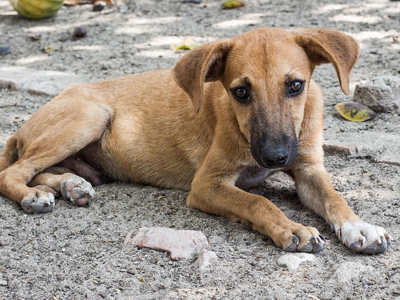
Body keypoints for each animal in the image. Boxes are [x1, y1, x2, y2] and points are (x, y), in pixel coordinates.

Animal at [0, 28, 390, 254]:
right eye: (240, 91)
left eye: (296, 85)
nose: (275, 157)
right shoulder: (207, 184)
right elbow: (257, 202)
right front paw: (290, 228)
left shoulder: (308, 167)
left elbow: (334, 197)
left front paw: (359, 226)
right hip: (90, 116)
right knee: (14, 172)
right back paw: (35, 196)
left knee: (42, 170)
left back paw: (72, 184)